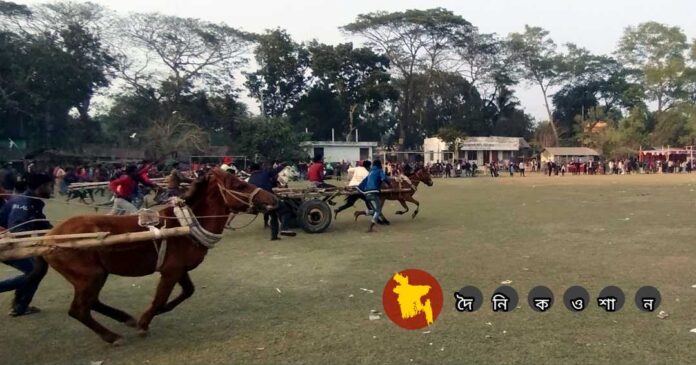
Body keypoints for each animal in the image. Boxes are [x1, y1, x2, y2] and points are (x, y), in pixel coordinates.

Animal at [31, 168, 278, 344]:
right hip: (91, 277)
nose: (273, 199)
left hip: (94, 276)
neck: (184, 225)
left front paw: (157, 312)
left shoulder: (179, 270)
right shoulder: (170, 272)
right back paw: (113, 336)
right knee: (79, 310)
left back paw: (125, 319)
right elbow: (160, 297)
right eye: (239, 184)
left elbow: (187, 291)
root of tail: (49, 238)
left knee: (91, 303)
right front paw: (144, 322)